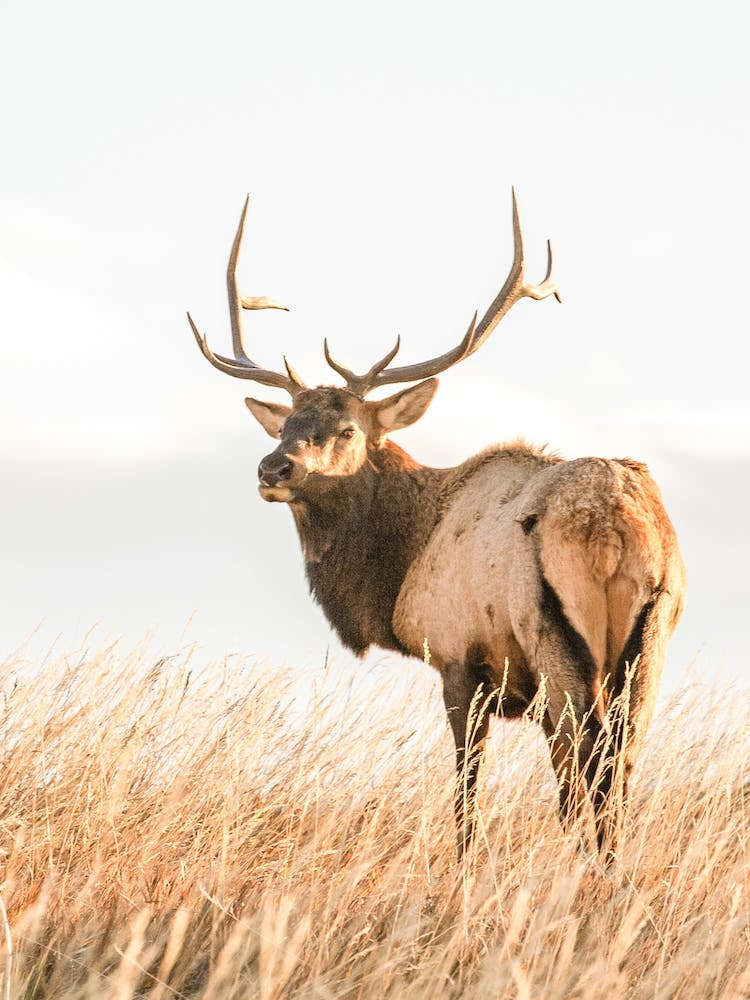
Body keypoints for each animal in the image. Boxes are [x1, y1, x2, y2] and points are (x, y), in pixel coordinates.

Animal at [186, 192, 686, 860]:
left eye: (347, 429)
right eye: (287, 424)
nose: (274, 467)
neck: (402, 561)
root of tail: (613, 530)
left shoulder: (457, 658)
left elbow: (466, 793)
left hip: (554, 637)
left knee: (587, 761)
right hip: (650, 636)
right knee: (620, 761)